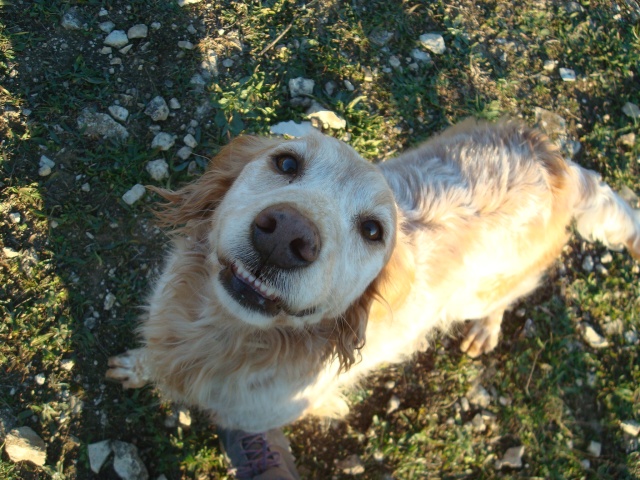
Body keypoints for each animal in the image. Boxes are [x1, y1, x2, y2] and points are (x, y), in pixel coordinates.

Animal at [105, 118, 640, 434]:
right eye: (285, 161)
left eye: (372, 230)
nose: (287, 236)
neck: (217, 337)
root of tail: (558, 163)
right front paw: (136, 367)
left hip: (480, 293)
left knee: (508, 296)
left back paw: (485, 330)